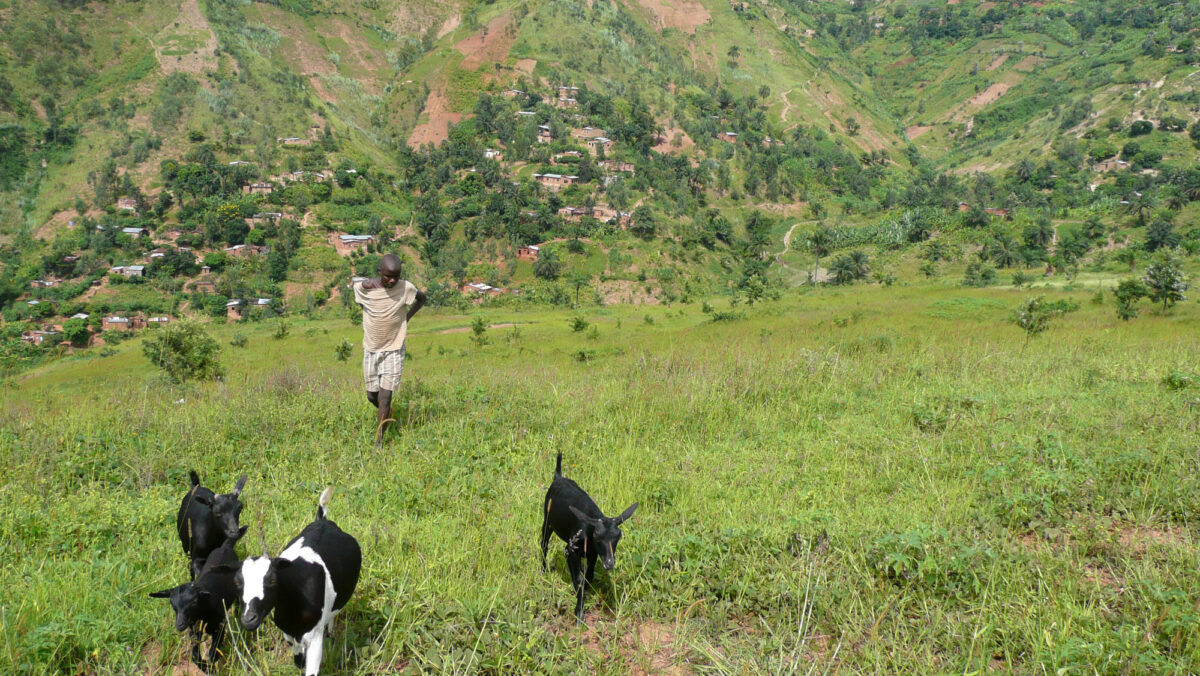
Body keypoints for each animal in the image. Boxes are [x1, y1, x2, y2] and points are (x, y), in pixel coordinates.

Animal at [147, 525, 246, 667]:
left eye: (193, 602)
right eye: (173, 605)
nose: (180, 624)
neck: (204, 607)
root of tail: (225, 547)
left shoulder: (219, 626)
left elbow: (213, 653)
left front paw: (211, 664)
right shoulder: (195, 630)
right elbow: (195, 655)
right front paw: (203, 665)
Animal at [237, 489, 357, 672]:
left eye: (272, 580)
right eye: (238, 582)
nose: (248, 618)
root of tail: (323, 521)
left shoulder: (314, 638)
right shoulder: (288, 632)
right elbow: (298, 657)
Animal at [542, 451, 638, 619]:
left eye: (618, 537)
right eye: (597, 537)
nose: (609, 563)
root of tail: (558, 477)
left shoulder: (594, 553)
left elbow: (589, 575)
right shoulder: (571, 550)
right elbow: (579, 579)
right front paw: (579, 613)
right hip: (547, 520)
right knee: (544, 543)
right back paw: (542, 569)